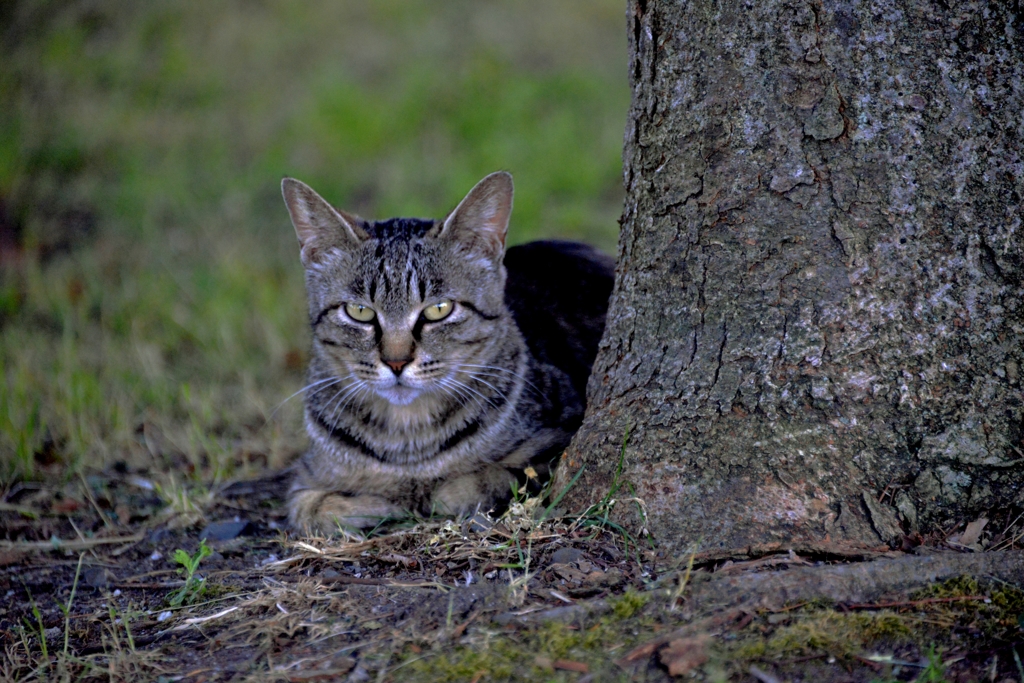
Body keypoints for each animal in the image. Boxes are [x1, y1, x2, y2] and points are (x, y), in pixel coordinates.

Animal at [280, 172, 610, 532]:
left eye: (439, 309)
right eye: (359, 312)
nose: (396, 361)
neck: (408, 446)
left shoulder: (557, 445)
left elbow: (483, 481)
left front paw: (423, 497)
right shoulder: (306, 476)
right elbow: (309, 506)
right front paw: (379, 500)